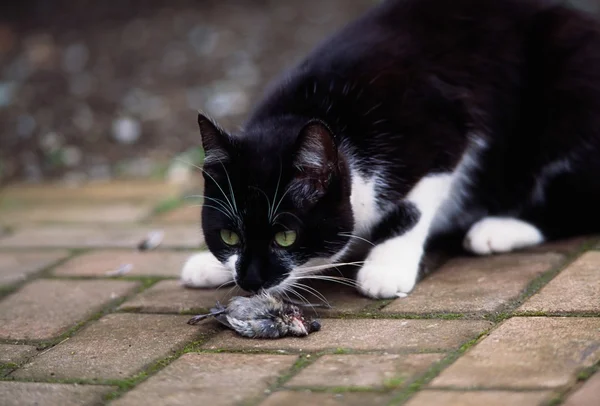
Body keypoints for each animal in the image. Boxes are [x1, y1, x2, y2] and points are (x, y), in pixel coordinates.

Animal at [180, 0, 600, 298]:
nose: (249, 281)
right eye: (229, 236)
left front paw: (386, 265)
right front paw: (210, 265)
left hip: (570, 94)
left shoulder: (443, 133)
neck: (311, 111)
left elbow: (412, 206)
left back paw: (496, 228)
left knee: (576, 204)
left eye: (285, 237)